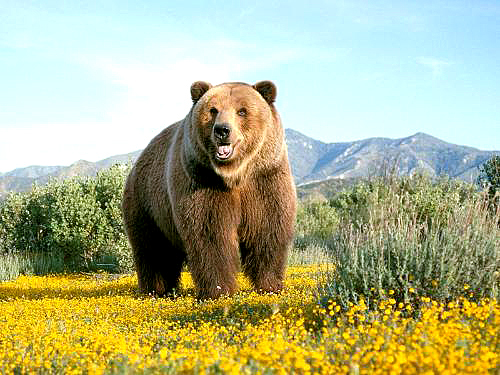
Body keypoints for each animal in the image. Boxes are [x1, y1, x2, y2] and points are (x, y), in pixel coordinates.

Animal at [122, 81, 294, 302]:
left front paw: (270, 286)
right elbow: (211, 235)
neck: (234, 175)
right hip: (147, 204)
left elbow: (267, 230)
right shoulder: (202, 181)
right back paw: (156, 291)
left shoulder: (265, 180)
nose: (222, 130)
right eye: (213, 110)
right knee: (153, 250)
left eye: (242, 111)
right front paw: (218, 291)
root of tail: (139, 160)